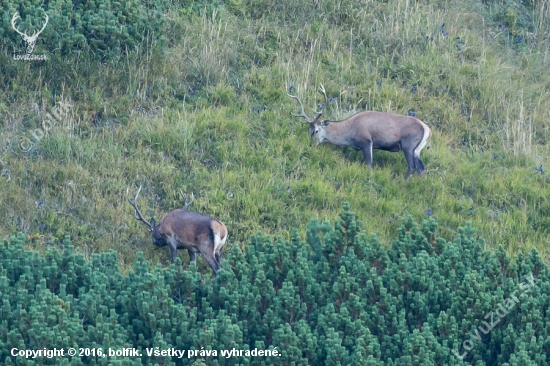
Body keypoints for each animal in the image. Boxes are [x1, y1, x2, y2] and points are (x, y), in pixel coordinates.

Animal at [288, 84, 432, 179]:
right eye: (309, 130)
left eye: (316, 131)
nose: (311, 145)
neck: (350, 134)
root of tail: (427, 130)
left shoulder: (367, 141)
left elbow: (369, 164)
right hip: (417, 149)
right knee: (421, 168)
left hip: (408, 145)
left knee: (412, 167)